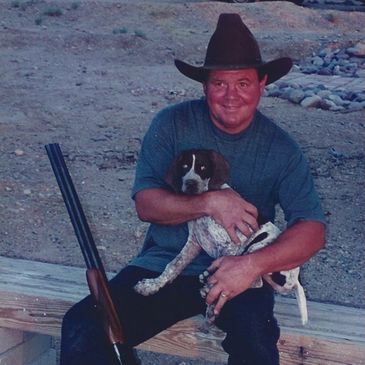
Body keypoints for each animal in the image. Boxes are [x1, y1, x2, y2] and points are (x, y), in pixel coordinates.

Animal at [134, 148, 308, 324]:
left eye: (203, 167)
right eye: (184, 166)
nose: (190, 184)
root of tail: (296, 277)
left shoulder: (231, 245)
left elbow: (225, 277)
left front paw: (211, 305)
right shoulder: (194, 243)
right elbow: (173, 265)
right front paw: (151, 285)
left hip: (257, 245)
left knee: (254, 280)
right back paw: (206, 277)